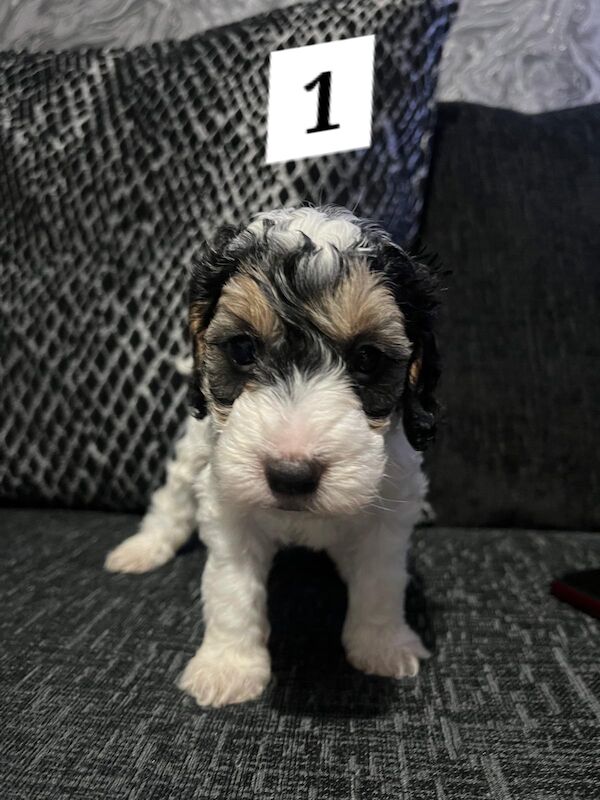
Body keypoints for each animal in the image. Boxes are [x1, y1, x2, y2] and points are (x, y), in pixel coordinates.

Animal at [106, 205, 440, 708]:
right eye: (243, 348)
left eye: (367, 358)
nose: (291, 475)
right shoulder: (229, 511)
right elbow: (231, 590)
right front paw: (227, 666)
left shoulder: (390, 510)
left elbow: (381, 581)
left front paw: (383, 646)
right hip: (193, 452)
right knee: (172, 499)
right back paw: (145, 548)